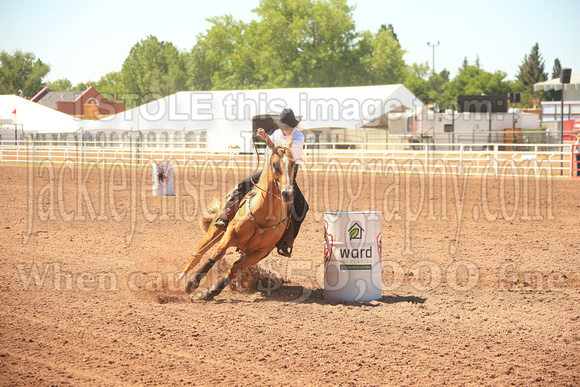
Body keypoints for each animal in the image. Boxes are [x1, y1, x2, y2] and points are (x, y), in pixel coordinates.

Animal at [176, 138, 294, 302]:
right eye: (275, 164)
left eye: (293, 164)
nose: (287, 194)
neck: (264, 215)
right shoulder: (230, 234)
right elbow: (217, 254)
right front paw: (192, 283)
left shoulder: (259, 253)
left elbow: (234, 269)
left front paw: (208, 293)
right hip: (214, 231)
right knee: (197, 255)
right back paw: (179, 280)